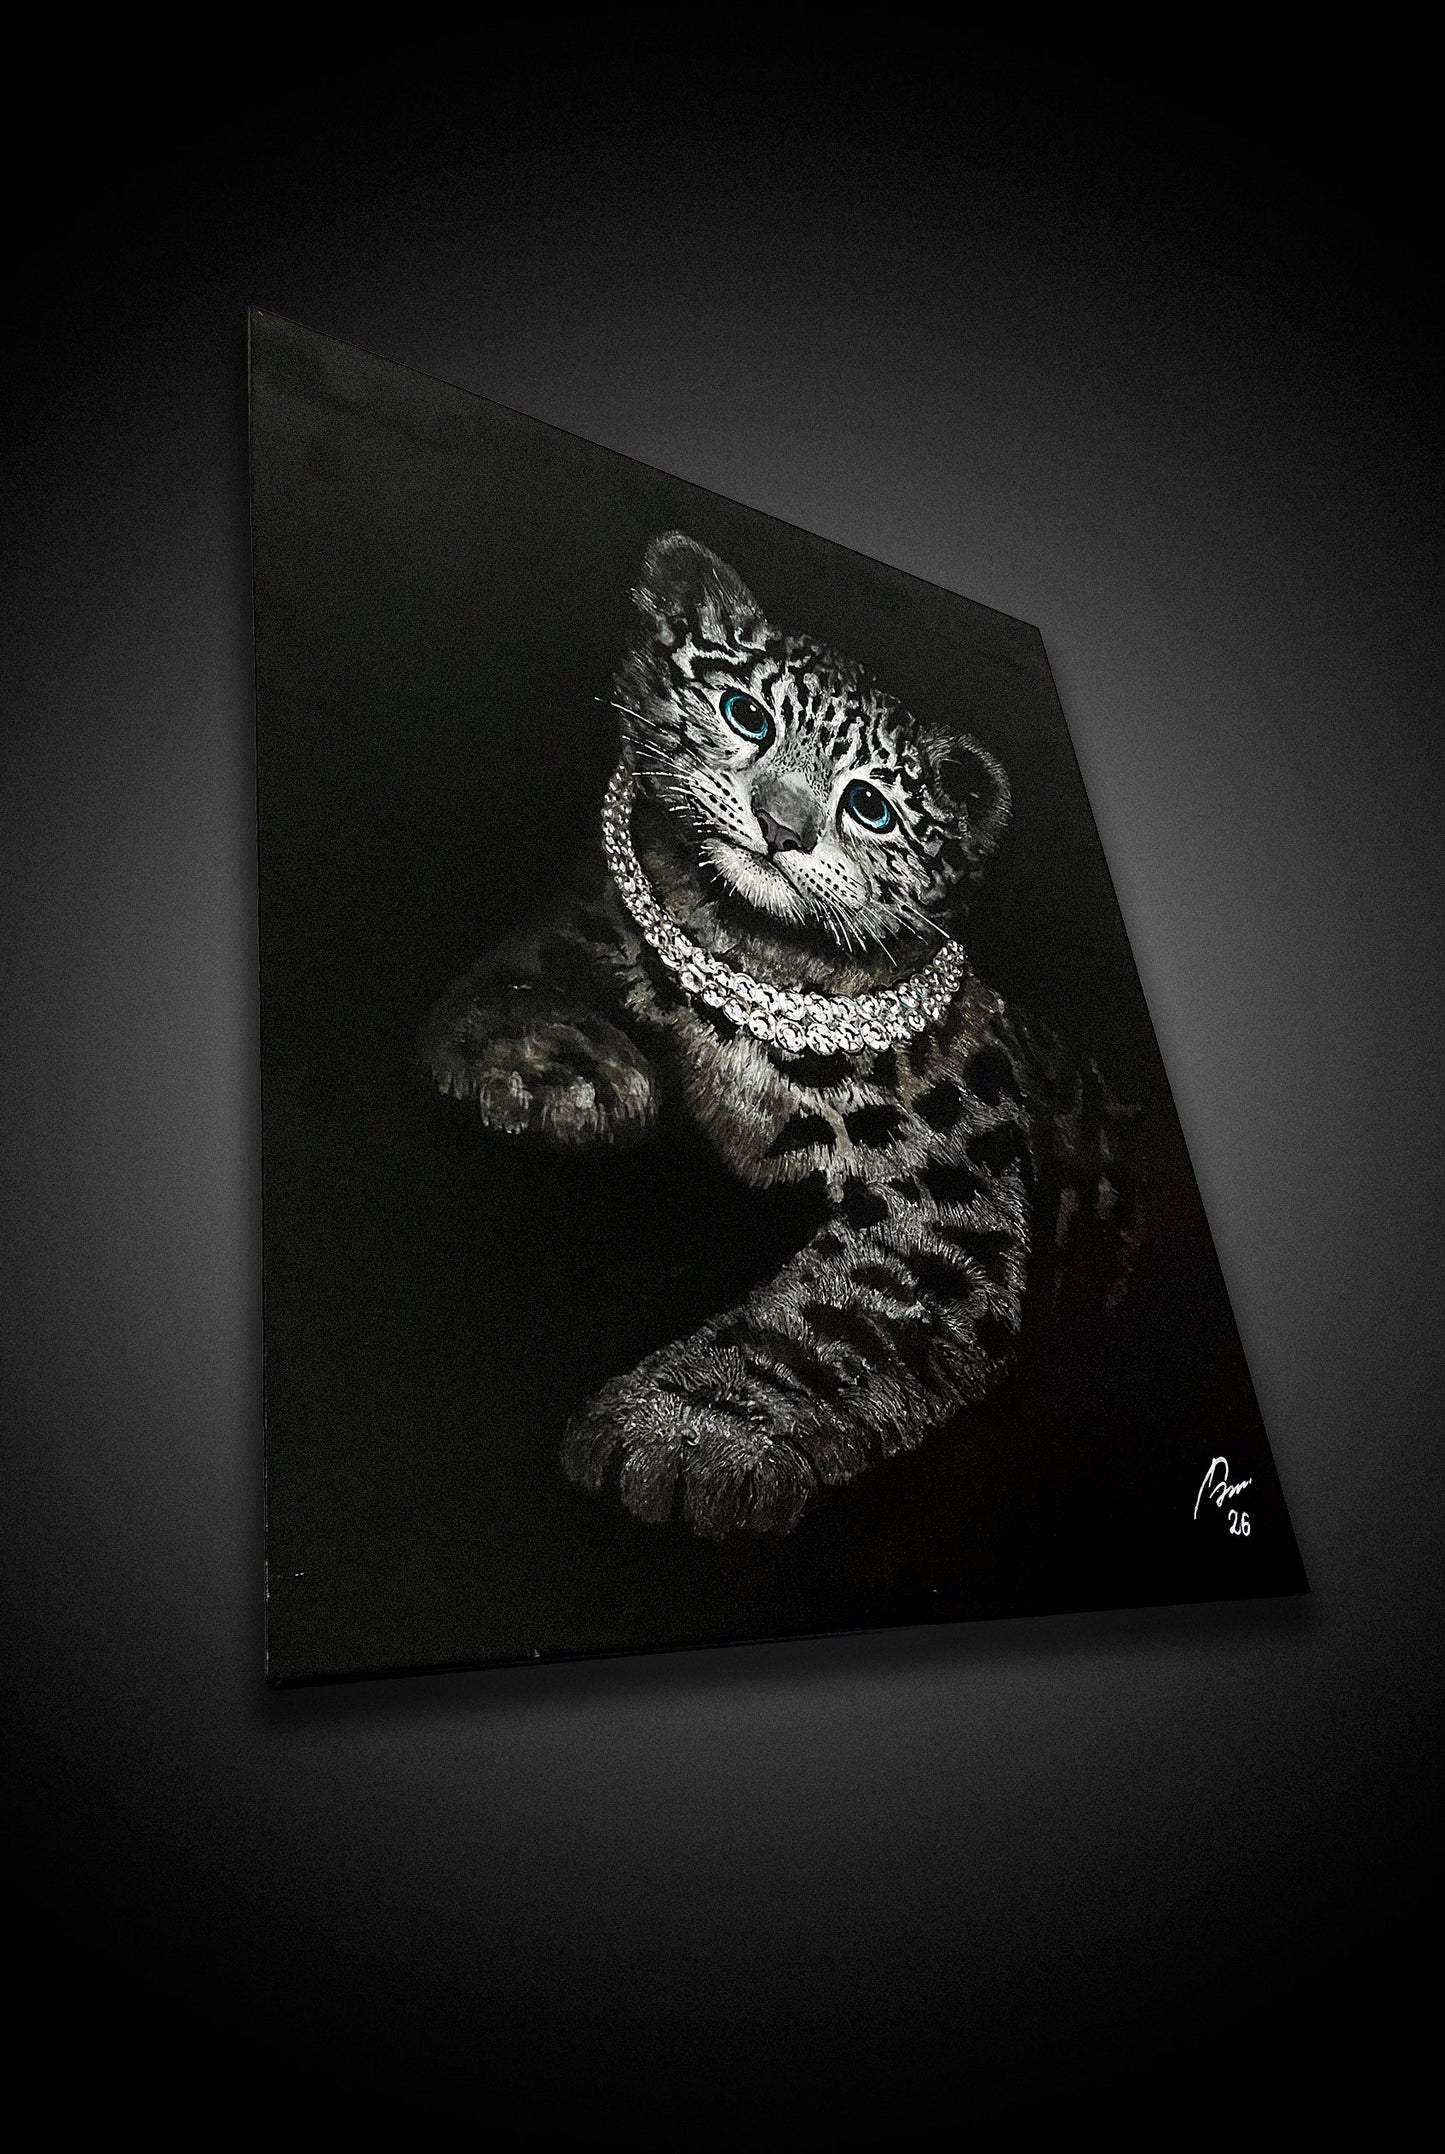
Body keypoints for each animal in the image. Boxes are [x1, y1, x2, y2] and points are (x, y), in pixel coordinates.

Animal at [418, 532, 1141, 1539]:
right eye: (745, 715)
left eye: (871, 805)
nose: (780, 826)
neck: (742, 956)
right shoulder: (572, 929)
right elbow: (511, 982)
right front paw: (567, 1079)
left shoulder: (936, 1194)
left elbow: (821, 1326)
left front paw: (686, 1435)